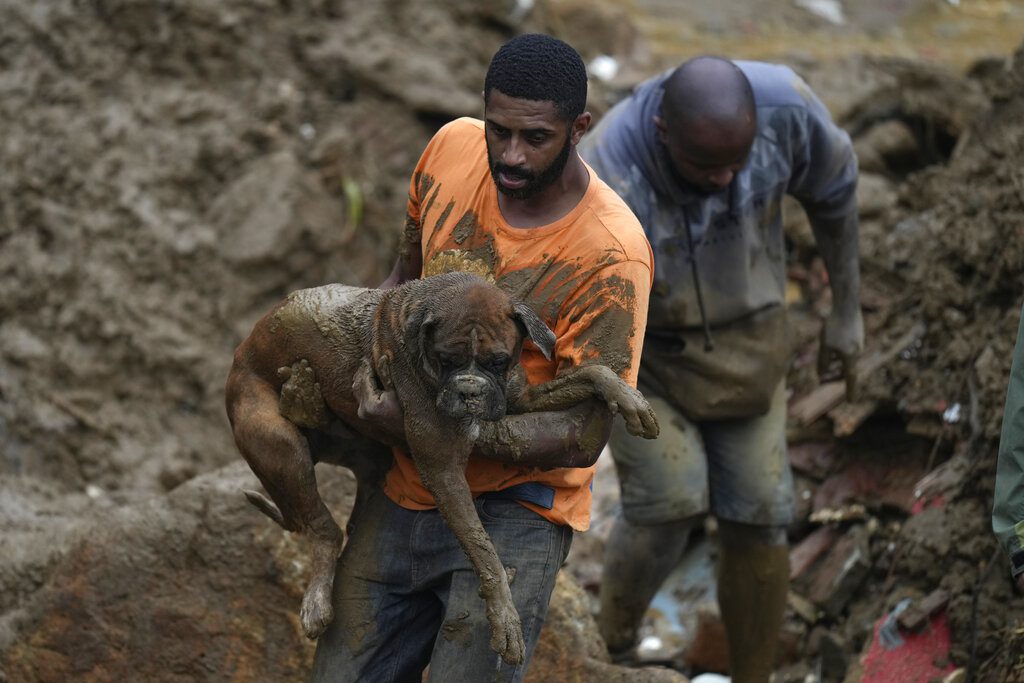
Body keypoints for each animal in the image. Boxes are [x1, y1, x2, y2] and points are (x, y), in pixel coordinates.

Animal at [224, 270, 659, 663]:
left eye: (498, 361)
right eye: (447, 360)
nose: (470, 391)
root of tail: (242, 349)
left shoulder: (522, 398)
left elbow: (591, 371)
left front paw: (629, 399)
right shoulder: (443, 467)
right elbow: (484, 550)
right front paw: (505, 618)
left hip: (359, 450)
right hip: (277, 444)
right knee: (322, 528)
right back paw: (317, 602)